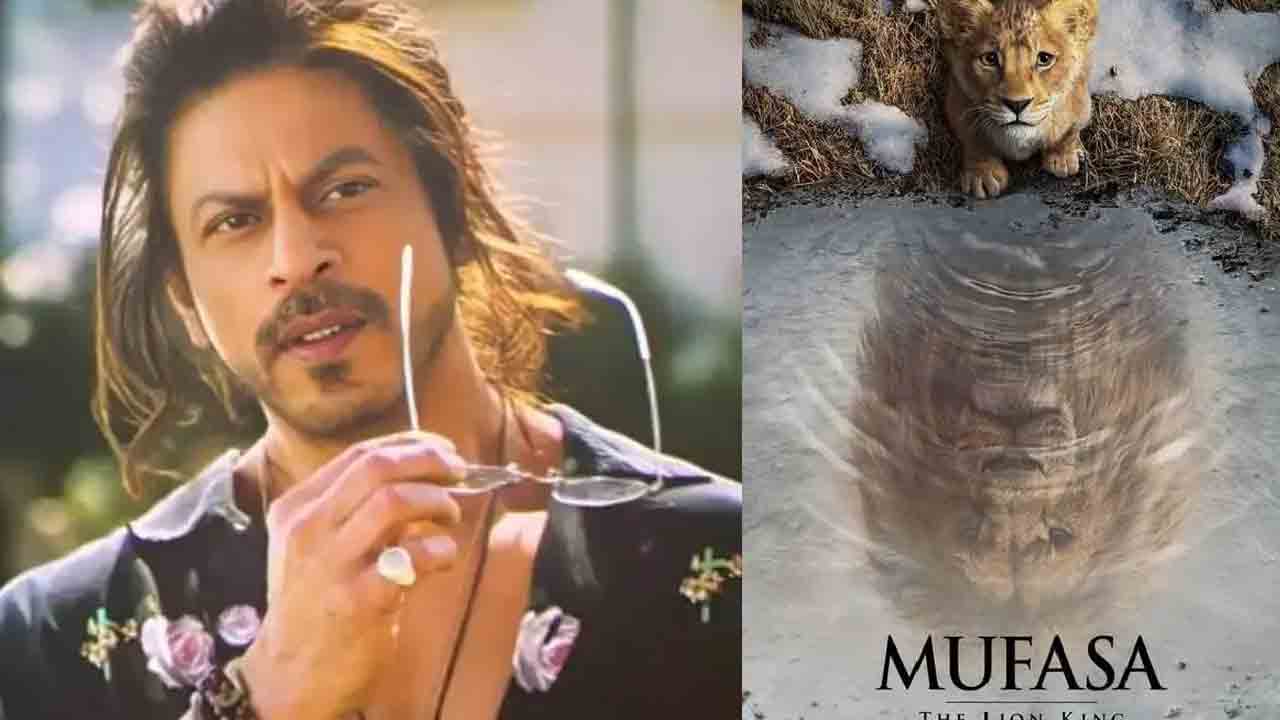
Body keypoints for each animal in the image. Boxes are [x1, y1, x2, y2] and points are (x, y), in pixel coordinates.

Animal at [937, 0, 1099, 199]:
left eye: (1044, 59)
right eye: (989, 59)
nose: (1017, 104)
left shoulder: (1081, 96)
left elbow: (1070, 130)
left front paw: (1063, 157)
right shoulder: (957, 99)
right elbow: (972, 137)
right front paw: (982, 174)